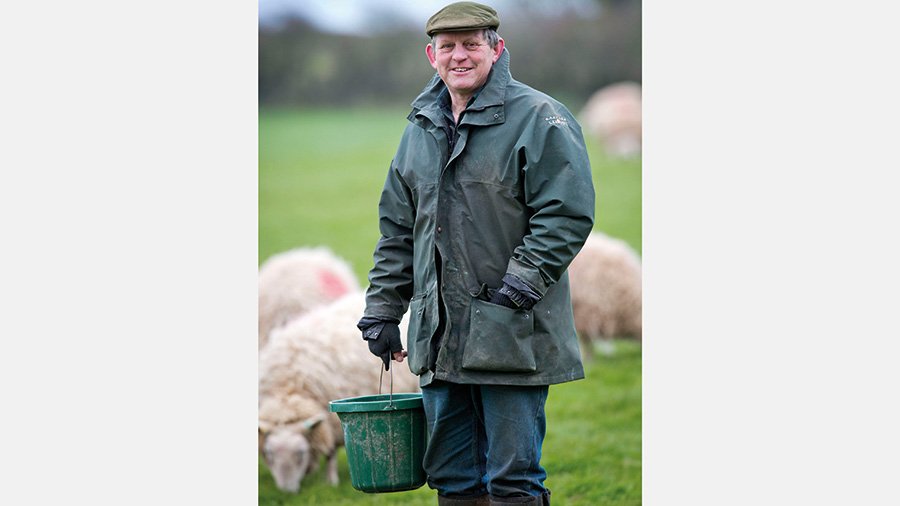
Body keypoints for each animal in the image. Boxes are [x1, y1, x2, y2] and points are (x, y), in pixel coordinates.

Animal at [256, 290, 418, 492]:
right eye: (269, 454)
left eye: (301, 453)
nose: (288, 492)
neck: (288, 392)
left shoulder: (330, 422)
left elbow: (331, 451)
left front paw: (331, 481)